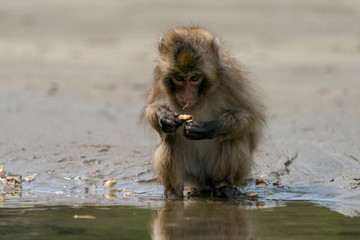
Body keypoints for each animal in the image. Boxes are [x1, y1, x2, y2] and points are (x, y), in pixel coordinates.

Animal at [142, 26, 266, 199]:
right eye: (178, 77)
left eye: (194, 78)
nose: (186, 95)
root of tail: (204, 182)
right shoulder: (159, 76)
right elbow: (151, 109)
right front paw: (165, 119)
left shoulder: (230, 77)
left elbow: (249, 118)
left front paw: (209, 128)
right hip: (193, 175)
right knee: (171, 139)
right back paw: (174, 194)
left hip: (213, 173)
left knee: (233, 139)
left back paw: (225, 187)